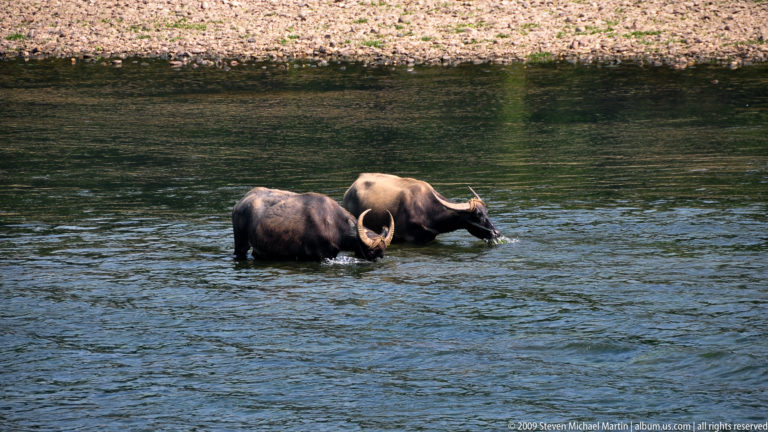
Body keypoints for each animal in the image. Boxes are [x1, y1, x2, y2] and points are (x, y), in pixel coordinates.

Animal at [232, 187, 395, 261]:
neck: (333, 224)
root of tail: (240, 203)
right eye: (371, 252)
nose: (379, 258)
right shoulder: (321, 255)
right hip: (240, 243)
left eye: (382, 253)